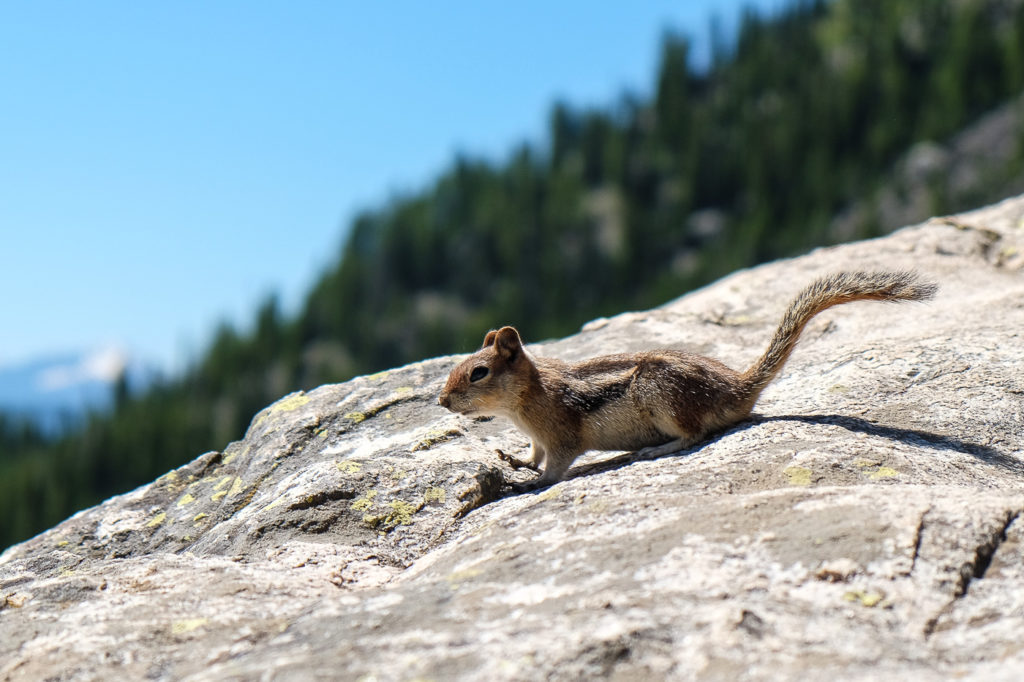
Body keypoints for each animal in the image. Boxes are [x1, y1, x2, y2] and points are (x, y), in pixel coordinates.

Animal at [436, 270, 933, 489]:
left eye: (478, 373)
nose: (441, 402)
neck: (525, 400)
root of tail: (737, 389)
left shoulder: (561, 436)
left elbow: (554, 469)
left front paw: (526, 484)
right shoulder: (537, 437)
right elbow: (533, 455)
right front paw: (516, 461)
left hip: (662, 395)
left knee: (694, 435)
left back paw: (654, 449)